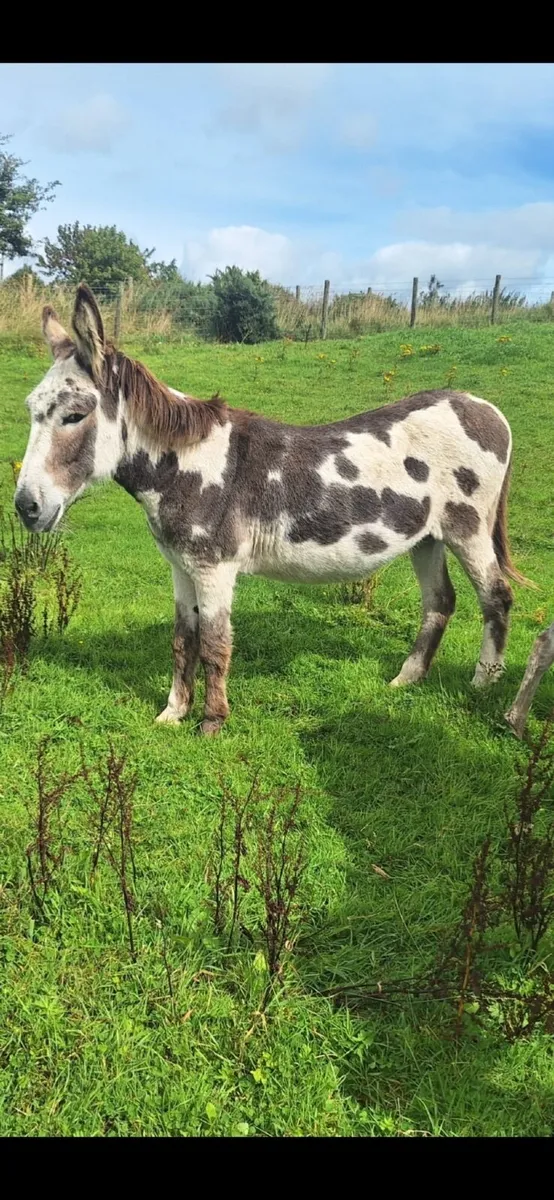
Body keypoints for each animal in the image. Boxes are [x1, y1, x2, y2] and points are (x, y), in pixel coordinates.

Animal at [14, 283, 531, 734]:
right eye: (31, 410)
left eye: (74, 416)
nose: (25, 508)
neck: (186, 465)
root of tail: (483, 406)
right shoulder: (181, 566)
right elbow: (183, 639)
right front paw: (172, 715)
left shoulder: (215, 568)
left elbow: (214, 644)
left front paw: (211, 724)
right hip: (427, 537)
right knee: (440, 602)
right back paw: (407, 678)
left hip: (468, 528)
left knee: (495, 597)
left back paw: (483, 682)